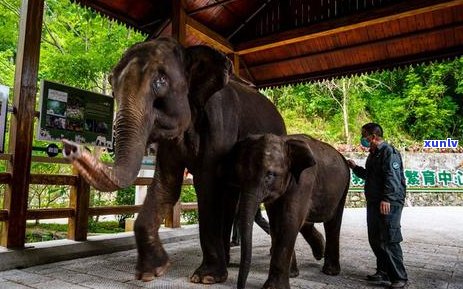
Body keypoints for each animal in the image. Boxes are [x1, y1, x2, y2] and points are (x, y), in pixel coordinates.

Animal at [61, 37, 286, 282]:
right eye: (111, 84)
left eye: (160, 81)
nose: (70, 147)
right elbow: (166, 185)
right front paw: (151, 271)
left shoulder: (221, 124)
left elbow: (207, 185)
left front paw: (205, 278)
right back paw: (227, 261)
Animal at [230, 133, 350, 288]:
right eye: (238, 175)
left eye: (270, 175)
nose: (241, 286)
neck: (284, 141)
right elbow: (276, 224)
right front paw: (292, 275)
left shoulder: (304, 181)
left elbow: (288, 221)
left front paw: (273, 287)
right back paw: (319, 252)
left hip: (343, 187)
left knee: (333, 222)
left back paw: (330, 271)